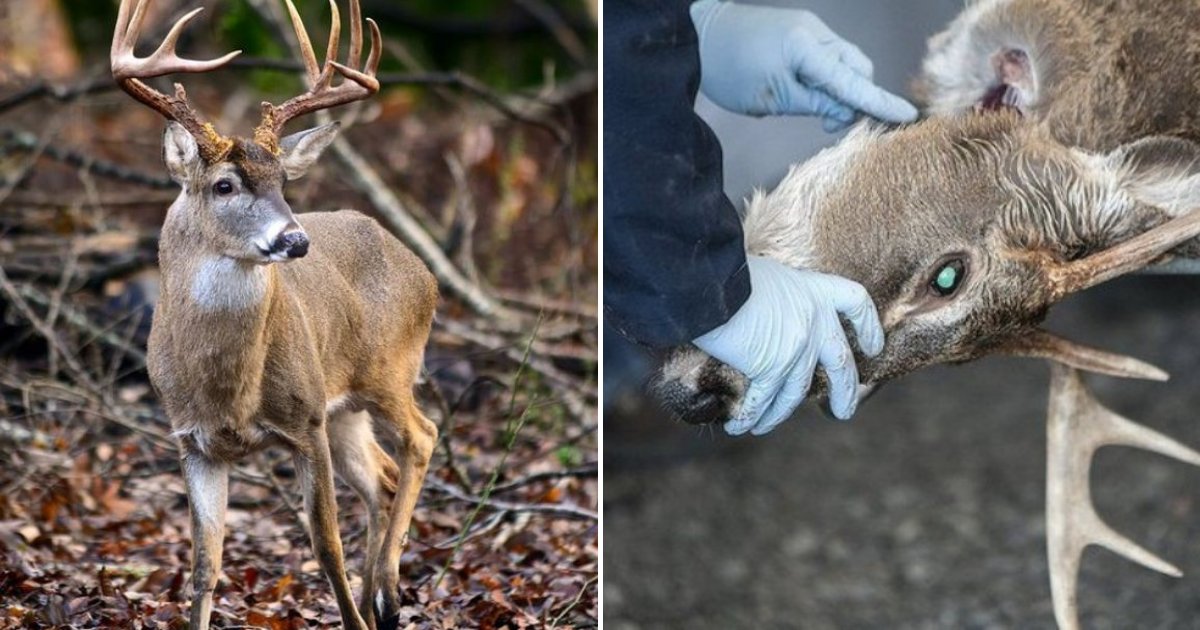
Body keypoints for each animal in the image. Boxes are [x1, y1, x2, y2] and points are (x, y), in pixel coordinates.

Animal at [110, 1, 439, 628]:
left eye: (284, 181)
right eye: (224, 185)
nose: (295, 239)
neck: (228, 390)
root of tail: (424, 270)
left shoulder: (305, 419)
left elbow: (325, 547)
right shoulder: (191, 441)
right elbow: (203, 565)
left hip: (388, 369)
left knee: (423, 437)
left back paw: (386, 591)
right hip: (344, 409)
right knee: (382, 477)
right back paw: (376, 595)